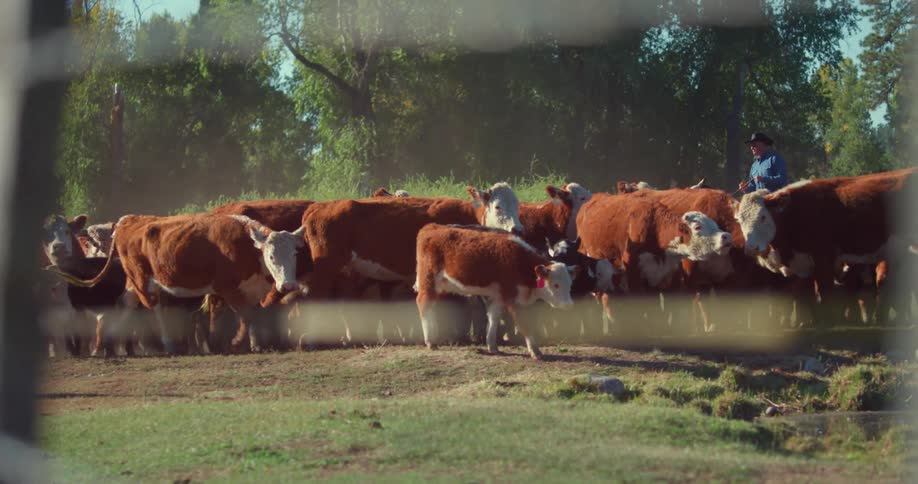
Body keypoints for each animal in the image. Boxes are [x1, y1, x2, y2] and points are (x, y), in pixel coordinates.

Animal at [48, 214, 306, 353]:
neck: (247, 245)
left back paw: (108, 346)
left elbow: (252, 315)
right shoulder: (226, 288)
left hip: (133, 282)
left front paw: (253, 345)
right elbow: (243, 316)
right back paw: (167, 344)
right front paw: (232, 343)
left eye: (294, 254)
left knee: (124, 304)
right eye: (271, 256)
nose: (289, 286)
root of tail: (127, 221)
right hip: (143, 281)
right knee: (153, 309)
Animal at [415, 223, 577, 360]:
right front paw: (535, 351)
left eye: (570, 284)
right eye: (556, 285)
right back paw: (430, 341)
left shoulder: (498, 297)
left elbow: (493, 318)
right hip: (429, 281)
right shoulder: (512, 299)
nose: (569, 305)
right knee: (423, 303)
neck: (519, 262)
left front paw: (492, 346)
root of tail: (431, 227)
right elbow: (524, 323)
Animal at [735, 168, 917, 325]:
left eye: (763, 217)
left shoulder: (824, 259)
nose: (751, 248)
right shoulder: (804, 264)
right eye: (740, 219)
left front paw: (827, 322)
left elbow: (823, 292)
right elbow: (805, 294)